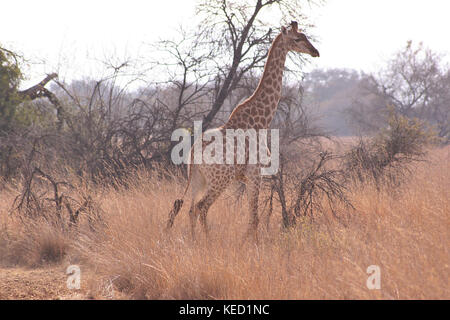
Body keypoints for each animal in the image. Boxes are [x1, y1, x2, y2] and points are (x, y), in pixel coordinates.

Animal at [166, 20, 320, 240]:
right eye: (298, 39)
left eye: (306, 36)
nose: (315, 52)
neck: (261, 120)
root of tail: (194, 153)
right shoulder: (256, 174)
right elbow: (254, 218)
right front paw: (252, 244)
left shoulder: (247, 178)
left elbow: (252, 217)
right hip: (220, 180)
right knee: (202, 207)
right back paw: (208, 242)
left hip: (198, 179)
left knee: (191, 208)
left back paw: (195, 241)